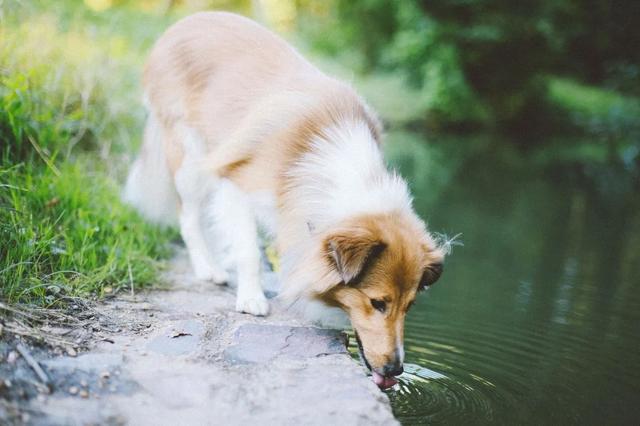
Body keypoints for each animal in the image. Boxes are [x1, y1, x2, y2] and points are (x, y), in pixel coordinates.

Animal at [124, 10, 444, 390]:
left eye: (409, 306)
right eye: (377, 302)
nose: (396, 370)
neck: (339, 173)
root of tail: (186, 21)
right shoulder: (236, 184)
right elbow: (248, 251)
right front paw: (251, 298)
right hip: (190, 155)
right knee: (188, 217)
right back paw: (208, 267)